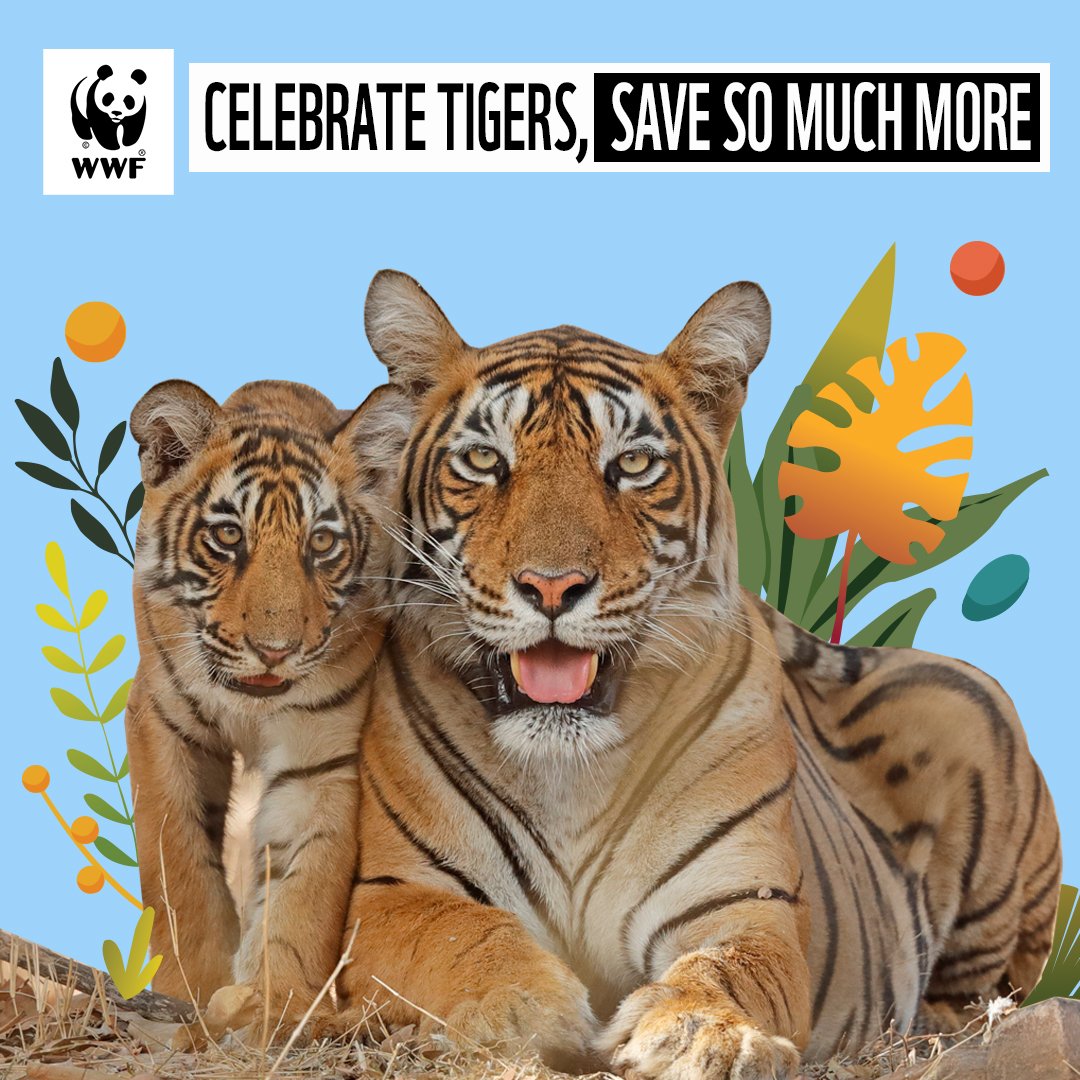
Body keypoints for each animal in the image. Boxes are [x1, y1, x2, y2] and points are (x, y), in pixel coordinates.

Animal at [126, 378, 406, 1018]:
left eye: (322, 543)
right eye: (229, 536)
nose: (274, 651)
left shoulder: (320, 757)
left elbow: (303, 893)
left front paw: (279, 1006)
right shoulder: (162, 724)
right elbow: (178, 866)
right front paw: (192, 991)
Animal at [323, 271, 1061, 1079]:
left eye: (632, 465)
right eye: (485, 461)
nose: (552, 587)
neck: (569, 771)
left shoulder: (743, 901)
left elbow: (725, 966)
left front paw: (699, 1031)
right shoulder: (393, 894)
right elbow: (462, 940)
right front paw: (524, 1008)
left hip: (969, 705)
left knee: (988, 994)